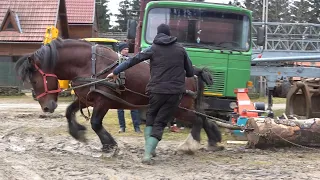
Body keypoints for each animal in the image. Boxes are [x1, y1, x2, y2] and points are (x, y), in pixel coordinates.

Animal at [15, 38, 222, 155]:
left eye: (34, 81)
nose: (46, 107)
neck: (88, 64)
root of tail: (192, 71)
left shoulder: (103, 101)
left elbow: (95, 123)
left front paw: (109, 145)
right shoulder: (85, 98)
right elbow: (69, 112)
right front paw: (78, 132)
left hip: (178, 107)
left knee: (197, 119)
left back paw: (190, 145)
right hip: (181, 106)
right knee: (204, 118)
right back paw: (213, 140)